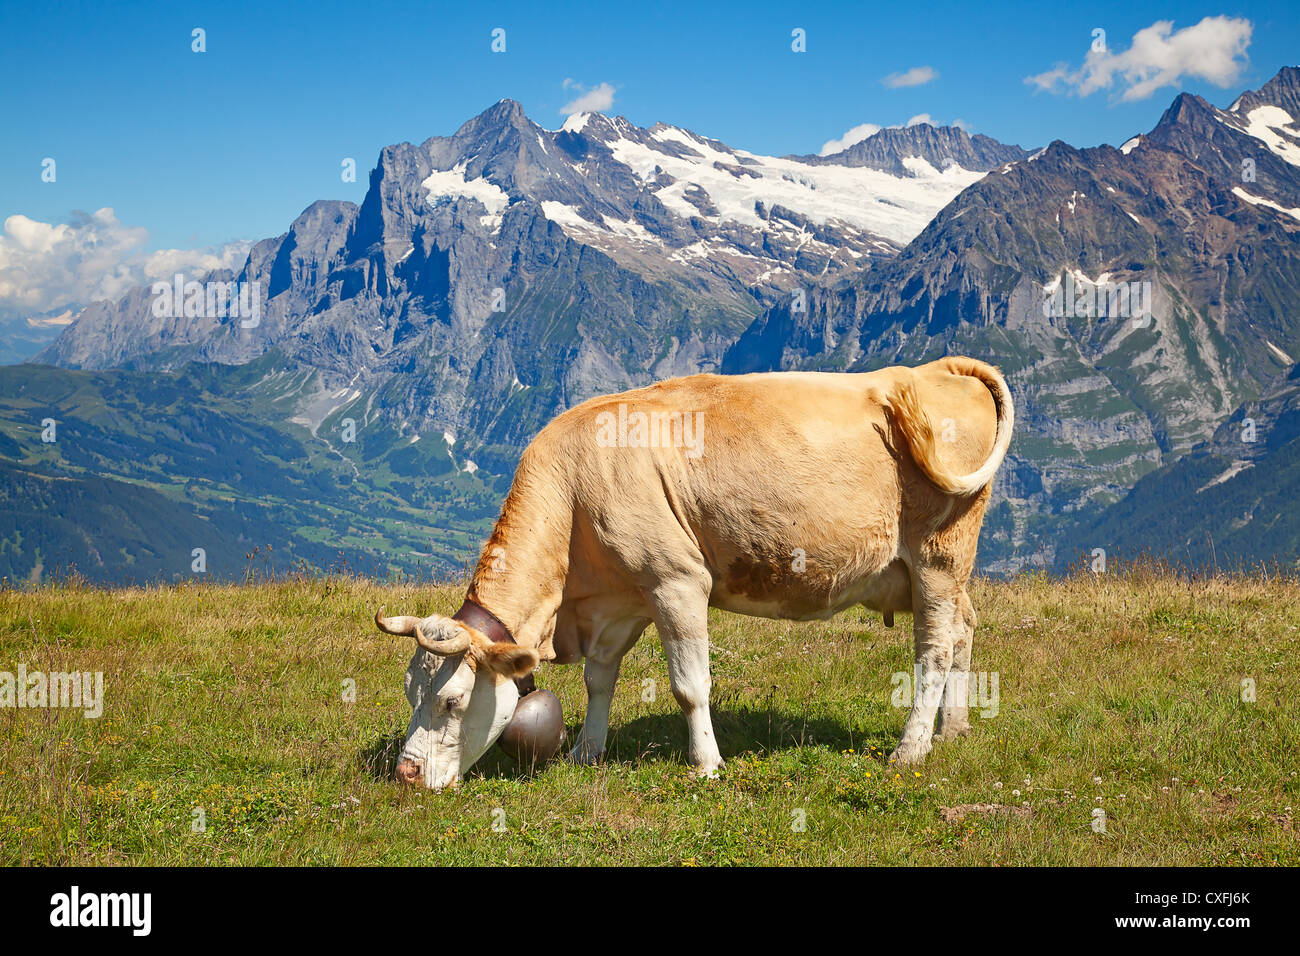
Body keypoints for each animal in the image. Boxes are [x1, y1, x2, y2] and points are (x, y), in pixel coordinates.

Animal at [375, 356, 1014, 791]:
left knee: (934, 651)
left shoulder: (676, 582)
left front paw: (706, 765)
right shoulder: (619, 600)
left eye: (453, 701)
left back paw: (912, 748)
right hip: (943, 572)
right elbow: (600, 680)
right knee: (963, 630)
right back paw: (953, 729)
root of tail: (934, 369)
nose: (406, 773)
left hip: (937, 557)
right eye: (410, 689)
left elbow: (689, 685)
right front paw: (586, 751)